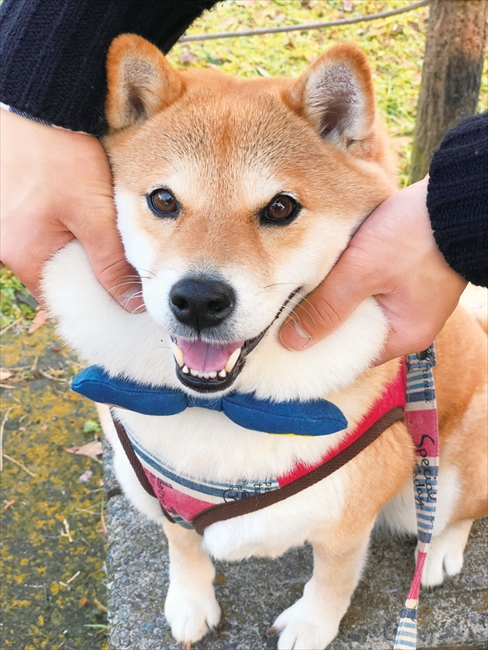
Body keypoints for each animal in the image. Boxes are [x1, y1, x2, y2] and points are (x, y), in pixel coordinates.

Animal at [43, 34, 488, 648]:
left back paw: (441, 551)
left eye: (280, 208)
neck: (220, 410)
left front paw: (311, 626)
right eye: (162, 200)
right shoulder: (162, 500)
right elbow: (182, 546)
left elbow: (333, 579)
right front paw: (190, 600)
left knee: (454, 514)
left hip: (445, 472)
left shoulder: (347, 522)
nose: (198, 299)